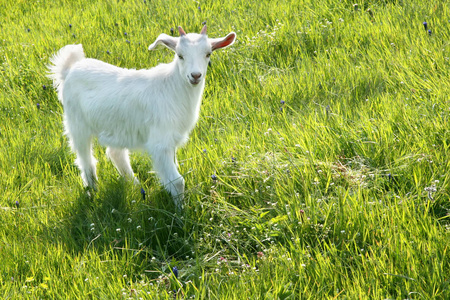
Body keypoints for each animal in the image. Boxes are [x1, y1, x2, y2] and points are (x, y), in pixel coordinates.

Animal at [48, 25, 237, 207]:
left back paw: (136, 187)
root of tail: (69, 70)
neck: (173, 87)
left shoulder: (171, 140)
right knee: (86, 160)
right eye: (180, 55)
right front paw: (180, 212)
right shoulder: (160, 142)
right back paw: (93, 191)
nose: (195, 76)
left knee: (115, 153)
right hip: (77, 123)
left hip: (116, 126)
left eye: (208, 54)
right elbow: (177, 182)